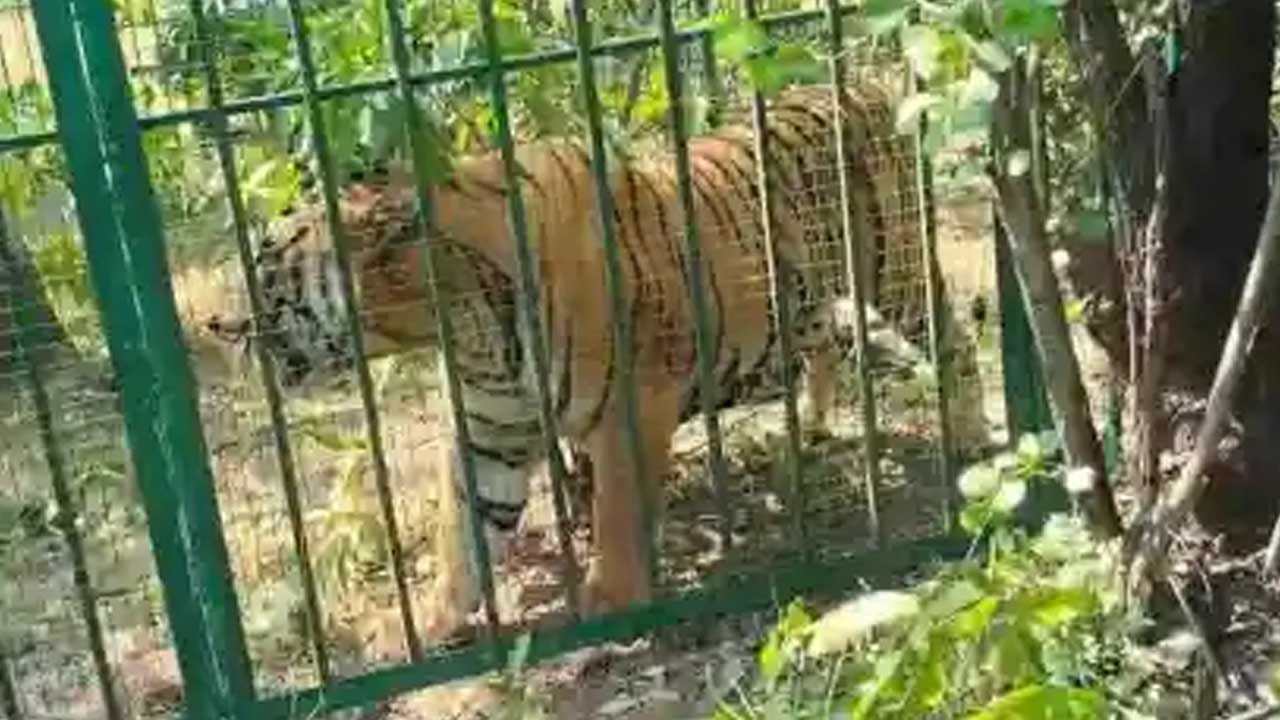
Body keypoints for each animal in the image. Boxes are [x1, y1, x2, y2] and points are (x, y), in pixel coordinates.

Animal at [204, 78, 986, 641]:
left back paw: (974, 438)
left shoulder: (630, 408)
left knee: (955, 341)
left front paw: (613, 604)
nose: (215, 325)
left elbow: (614, 512)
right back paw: (816, 424)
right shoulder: (490, 433)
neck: (457, 324)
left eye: (267, 259)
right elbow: (463, 537)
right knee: (823, 342)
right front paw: (424, 628)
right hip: (808, 293)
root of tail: (863, 86)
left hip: (897, 273)